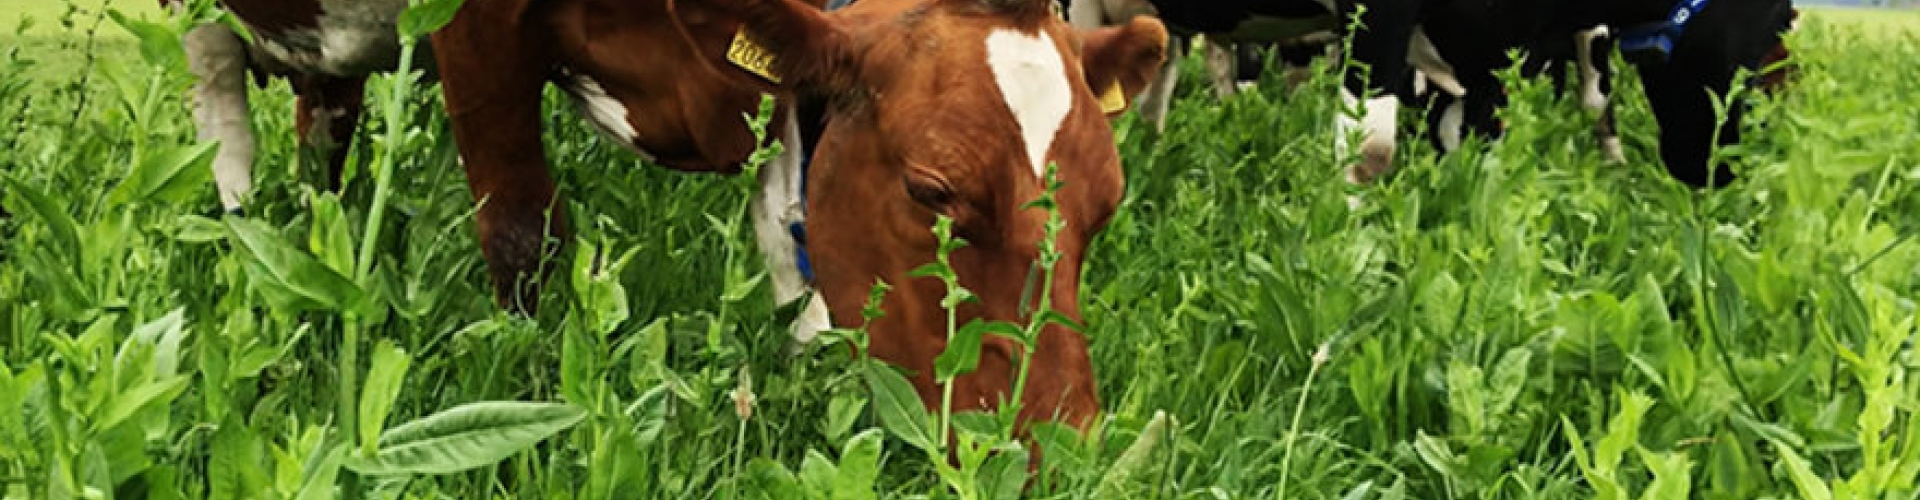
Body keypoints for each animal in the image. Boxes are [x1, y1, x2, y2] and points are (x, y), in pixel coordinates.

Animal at [171, 0, 1168, 430]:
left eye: (1107, 203)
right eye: (930, 190)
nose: (1060, 440)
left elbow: (794, 265)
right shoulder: (479, 28)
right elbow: (522, 229)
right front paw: (528, 388)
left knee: (324, 115)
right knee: (215, 83)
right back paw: (238, 229)